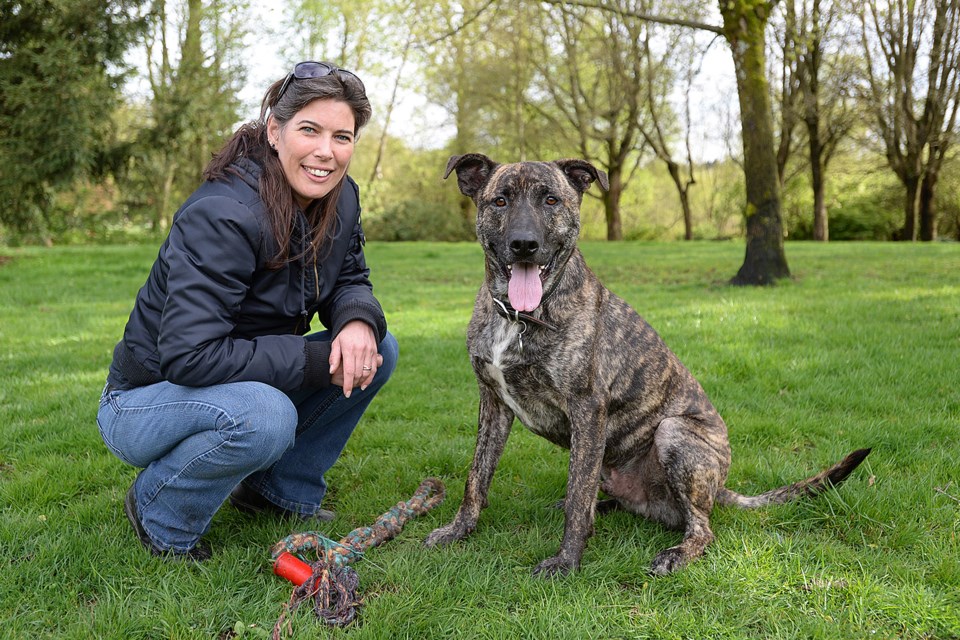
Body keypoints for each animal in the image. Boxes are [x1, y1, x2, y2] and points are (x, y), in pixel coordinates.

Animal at [426, 154, 872, 576]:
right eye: (499, 201)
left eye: (551, 200)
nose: (524, 244)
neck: (519, 316)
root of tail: (720, 490)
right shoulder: (493, 403)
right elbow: (476, 478)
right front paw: (457, 530)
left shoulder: (587, 410)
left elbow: (577, 499)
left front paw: (566, 562)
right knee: (609, 500)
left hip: (673, 433)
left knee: (699, 527)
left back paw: (676, 553)